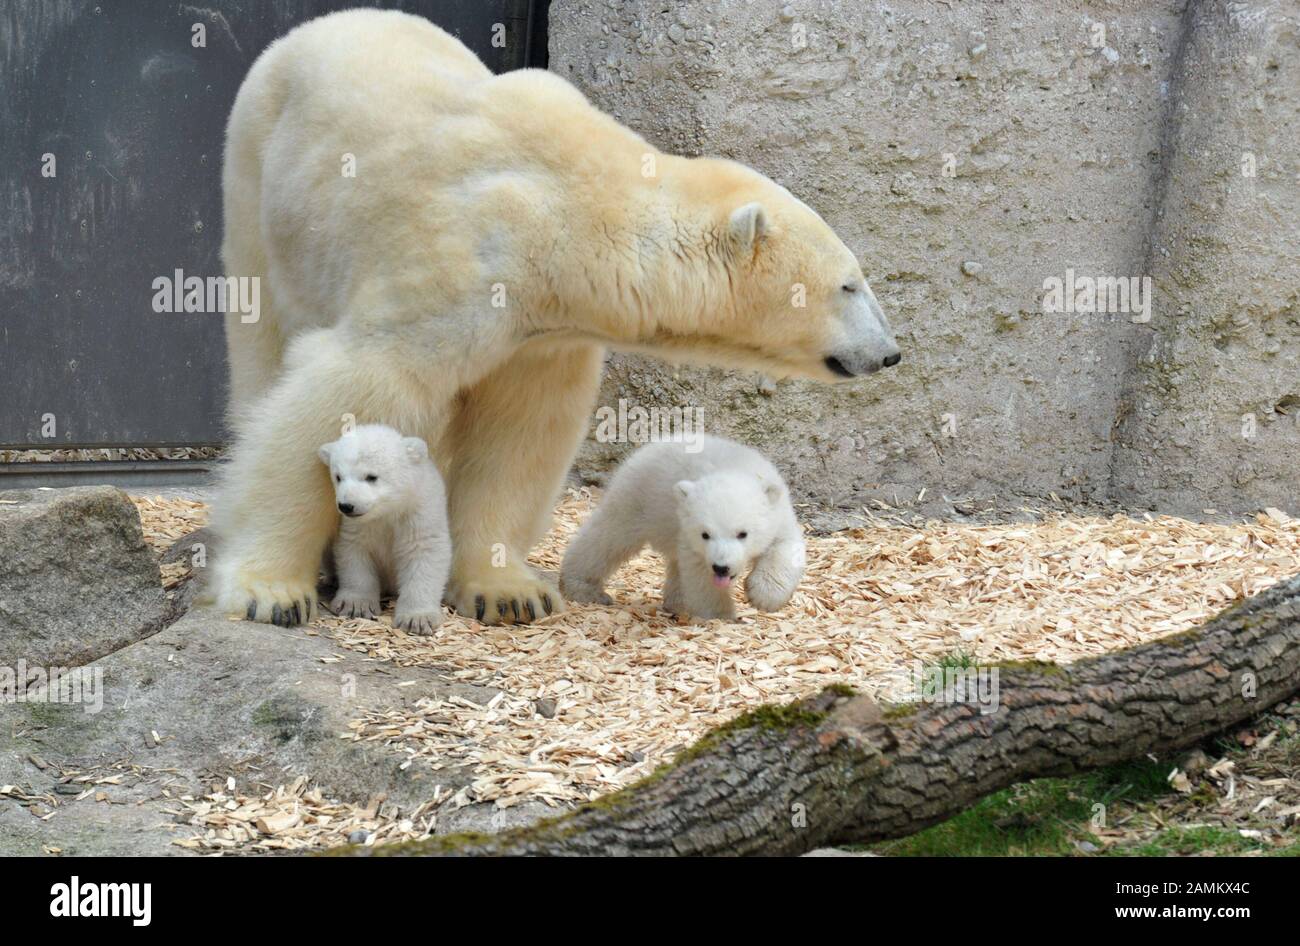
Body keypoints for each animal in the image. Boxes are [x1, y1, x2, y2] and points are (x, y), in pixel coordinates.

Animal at [215, 11, 904, 628]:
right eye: (850, 284)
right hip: (254, 170)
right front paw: (269, 590)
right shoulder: (456, 266)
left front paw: (506, 592)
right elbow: (352, 387)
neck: (569, 214)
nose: (890, 352)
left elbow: (521, 426)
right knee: (260, 334)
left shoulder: (541, 328)